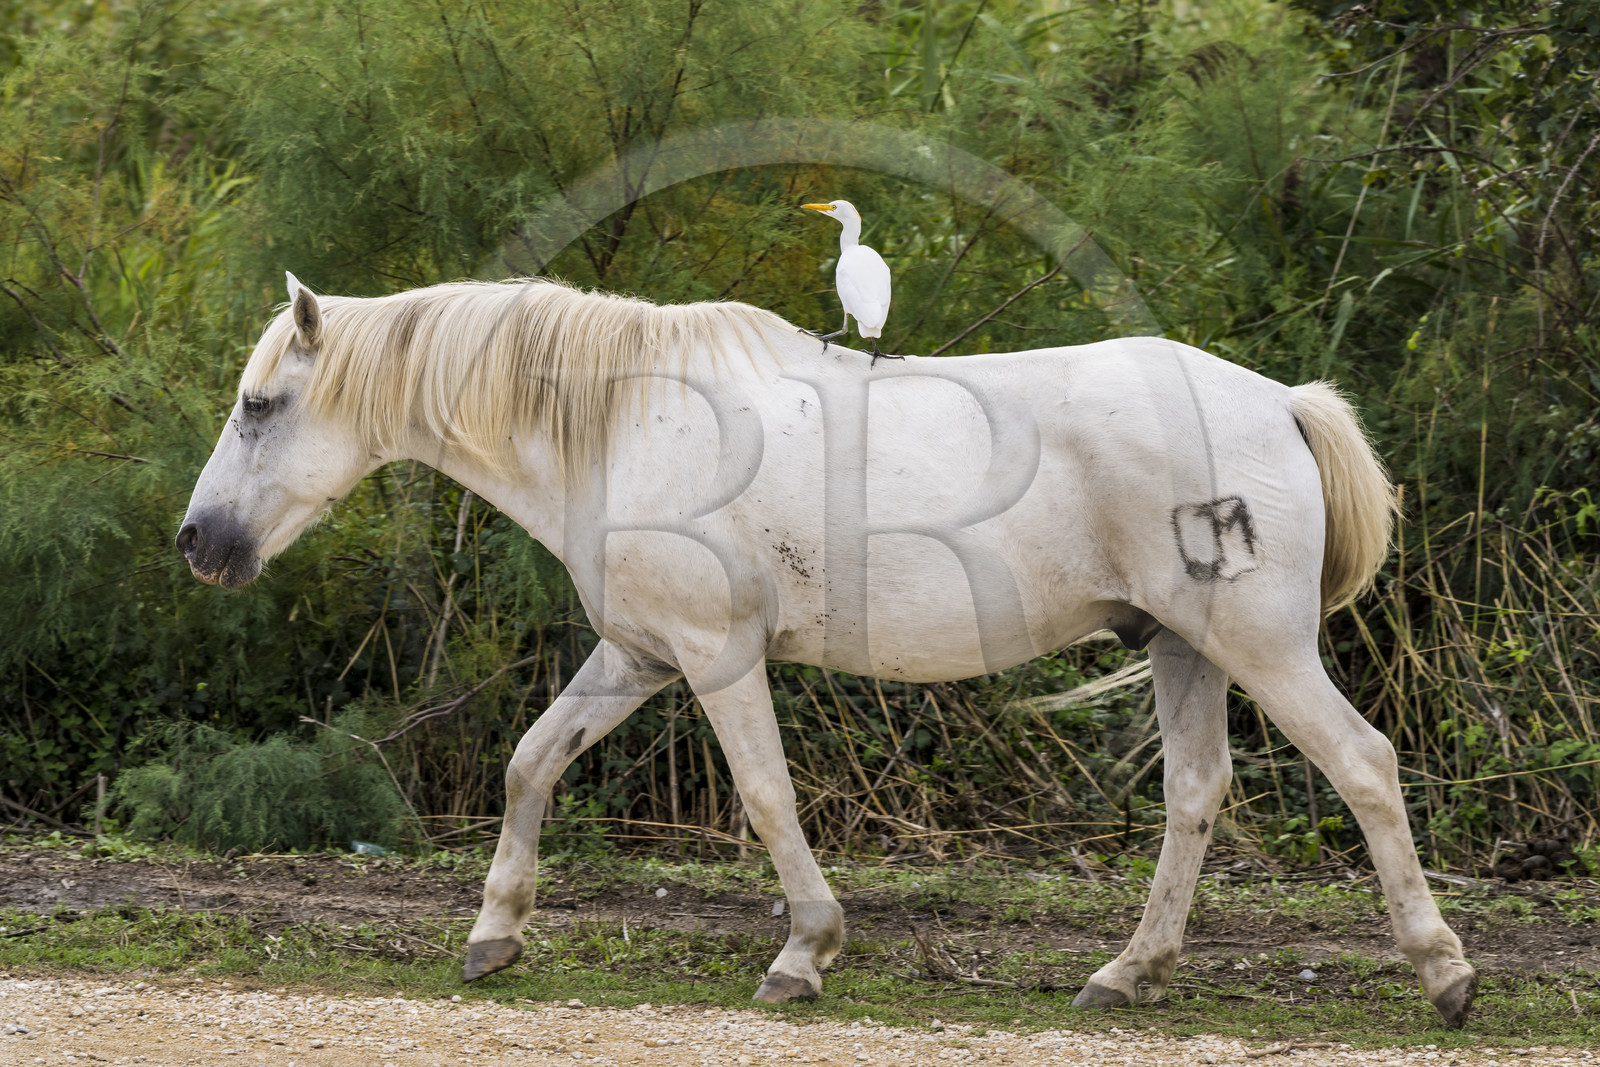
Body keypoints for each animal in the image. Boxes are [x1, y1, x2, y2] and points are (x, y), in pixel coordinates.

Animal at [176, 274, 1477, 1027]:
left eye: (258, 405)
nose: (197, 542)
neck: (624, 421)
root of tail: (1279, 400)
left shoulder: (713, 657)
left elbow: (763, 794)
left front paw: (805, 951)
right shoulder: (636, 655)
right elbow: (529, 762)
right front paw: (495, 930)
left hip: (1260, 648)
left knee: (1364, 766)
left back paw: (1444, 971)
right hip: (1182, 649)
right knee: (1195, 794)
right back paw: (1128, 973)